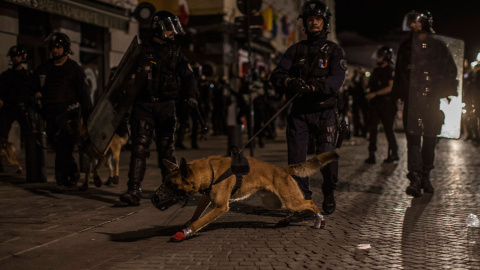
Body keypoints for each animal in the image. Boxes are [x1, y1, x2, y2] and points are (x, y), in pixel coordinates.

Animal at [158, 151, 338, 242]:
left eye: (171, 185)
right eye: (165, 182)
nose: (155, 198)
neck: (210, 171)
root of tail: (282, 169)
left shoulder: (220, 206)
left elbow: (200, 221)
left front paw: (186, 232)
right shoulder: (206, 198)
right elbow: (196, 215)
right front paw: (187, 225)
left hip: (290, 200)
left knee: (309, 202)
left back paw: (319, 219)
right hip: (276, 202)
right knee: (297, 205)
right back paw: (289, 218)